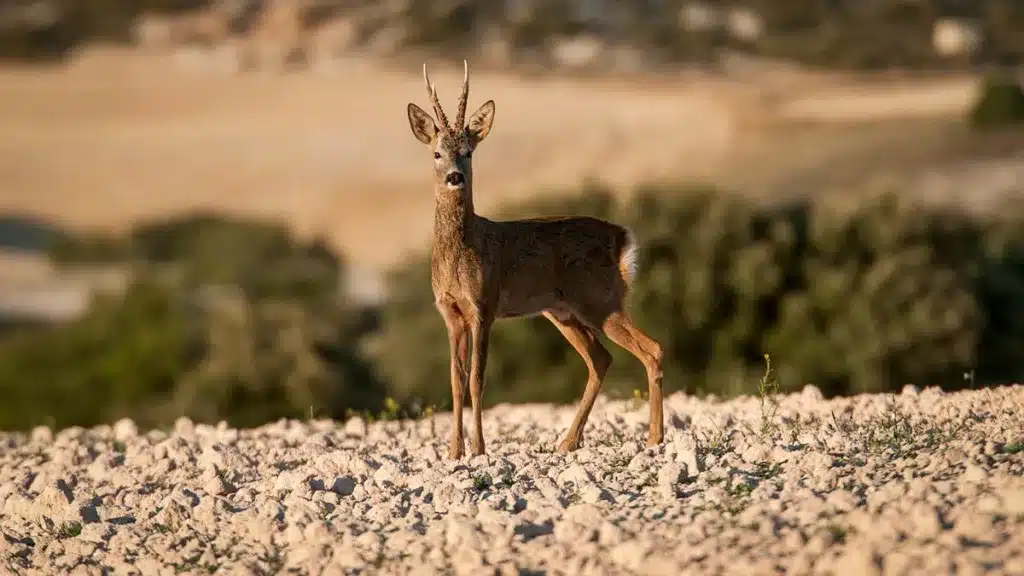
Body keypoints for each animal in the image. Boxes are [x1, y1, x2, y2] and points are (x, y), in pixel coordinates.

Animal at [405, 61, 663, 457]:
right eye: (436, 152)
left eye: (468, 151)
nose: (455, 176)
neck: (459, 256)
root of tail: (622, 237)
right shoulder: (450, 312)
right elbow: (455, 380)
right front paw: (453, 452)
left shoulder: (484, 306)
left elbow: (477, 379)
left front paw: (479, 449)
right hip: (562, 310)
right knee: (601, 359)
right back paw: (568, 442)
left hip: (599, 298)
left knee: (651, 349)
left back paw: (653, 439)